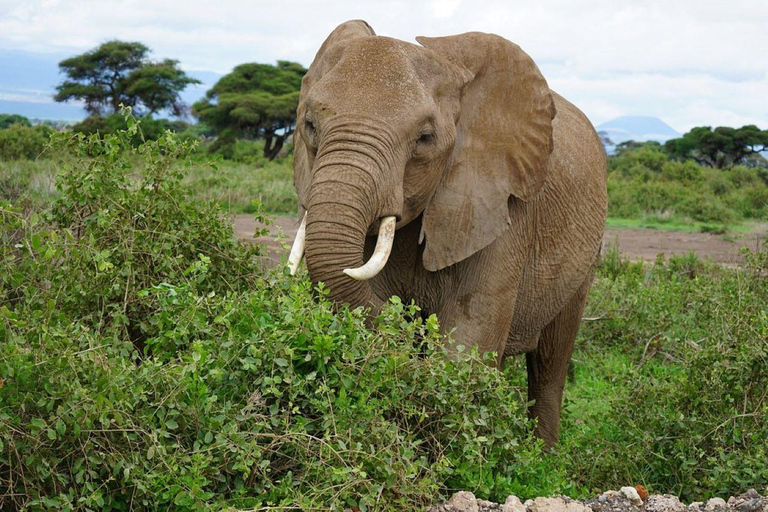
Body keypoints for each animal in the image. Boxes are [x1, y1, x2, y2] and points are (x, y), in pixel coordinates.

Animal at [288, 20, 608, 446]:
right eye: (310, 125)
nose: (410, 324)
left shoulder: (501, 206)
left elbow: (467, 346)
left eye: (425, 138)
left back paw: (544, 456)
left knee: (549, 367)